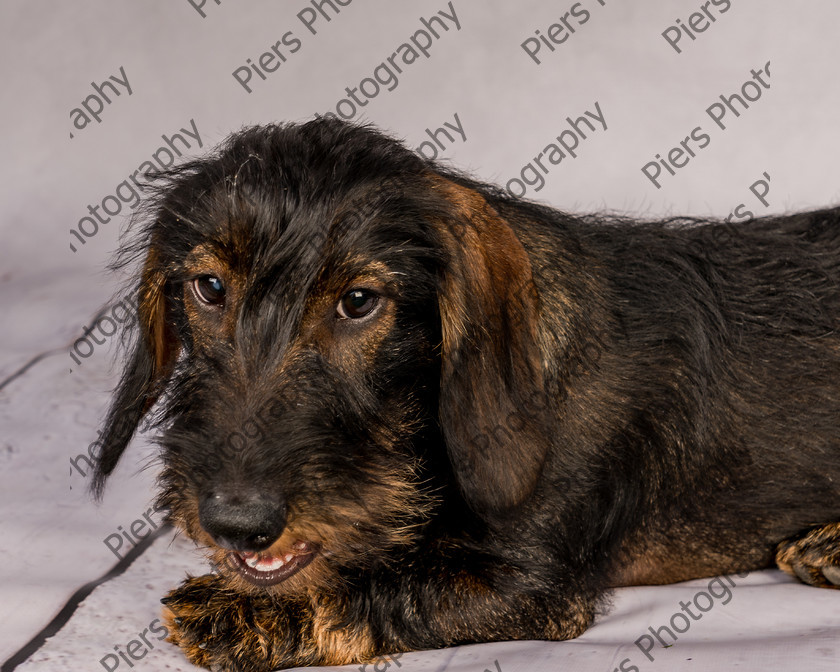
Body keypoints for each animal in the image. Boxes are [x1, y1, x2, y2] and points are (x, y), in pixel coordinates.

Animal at [92, 118, 840, 668]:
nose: (235, 522)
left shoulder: (526, 584)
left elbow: (384, 586)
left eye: (359, 302)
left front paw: (245, 611)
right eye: (210, 287)